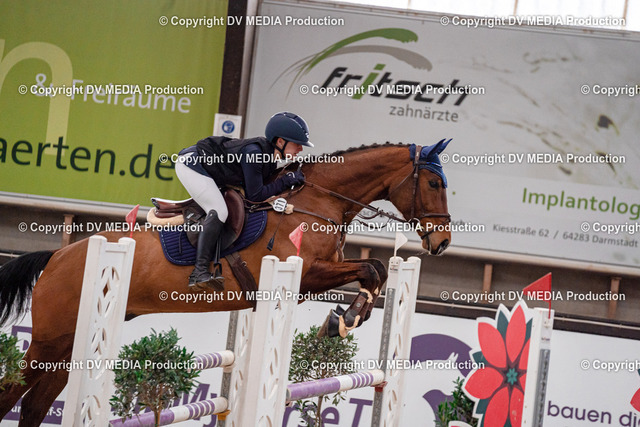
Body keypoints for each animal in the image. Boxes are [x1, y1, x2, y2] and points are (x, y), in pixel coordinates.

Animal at [0, 140, 452, 426]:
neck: (316, 200)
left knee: (34, 405)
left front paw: (343, 320)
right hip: (49, 340)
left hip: (70, 346)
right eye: (433, 184)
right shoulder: (303, 272)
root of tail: (58, 257)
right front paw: (340, 321)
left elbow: (375, 272)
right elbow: (372, 269)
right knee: (13, 391)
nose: (442, 241)